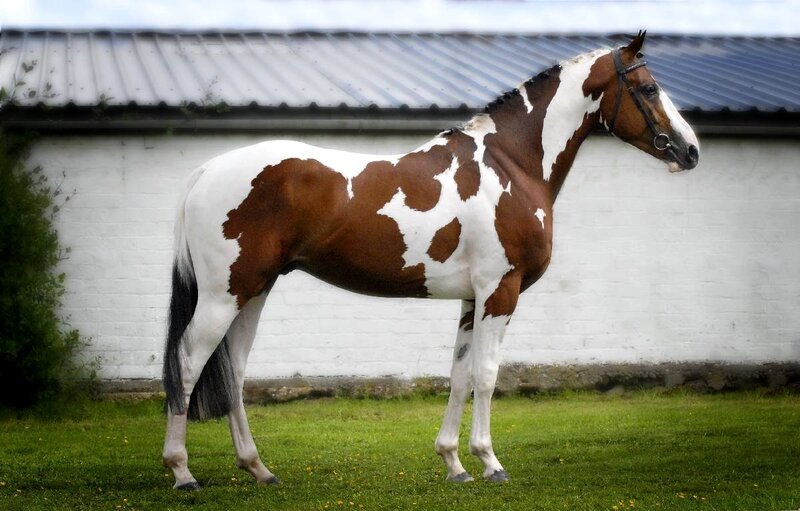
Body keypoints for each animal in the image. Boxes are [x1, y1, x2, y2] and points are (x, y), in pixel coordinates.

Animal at [161, 31, 699, 489]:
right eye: (648, 88)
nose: (690, 151)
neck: (510, 164)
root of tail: (207, 170)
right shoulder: (499, 292)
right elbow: (487, 376)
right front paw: (491, 463)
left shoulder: (471, 299)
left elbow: (460, 376)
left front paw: (455, 463)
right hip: (224, 295)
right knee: (187, 363)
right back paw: (183, 472)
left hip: (253, 291)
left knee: (233, 372)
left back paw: (258, 469)